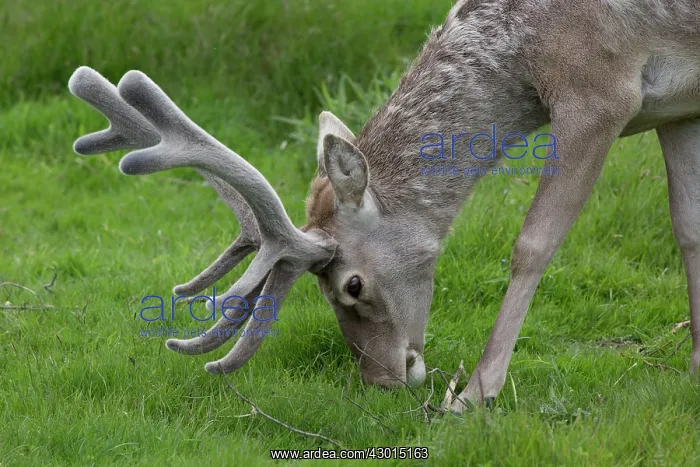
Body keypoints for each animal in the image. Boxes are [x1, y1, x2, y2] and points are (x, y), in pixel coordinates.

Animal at [68, 0, 700, 413]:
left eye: (351, 285)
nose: (384, 381)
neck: (529, 42)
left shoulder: (602, 90)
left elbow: (533, 243)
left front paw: (474, 394)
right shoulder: (678, 107)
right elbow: (688, 227)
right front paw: (695, 366)